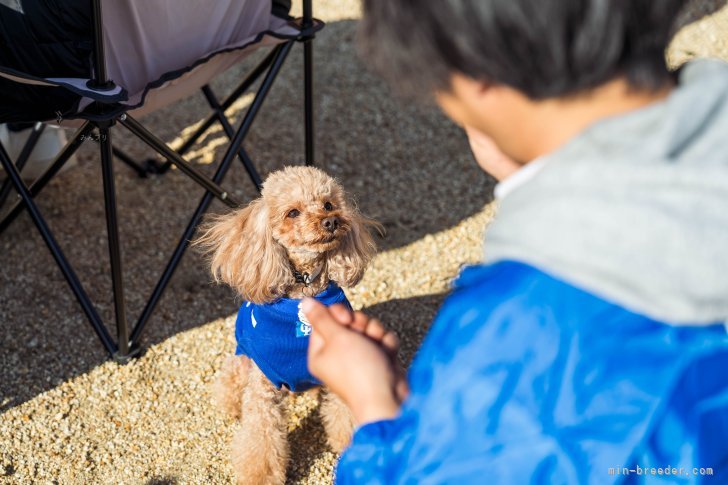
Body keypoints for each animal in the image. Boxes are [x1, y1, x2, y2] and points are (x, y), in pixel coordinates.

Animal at [193, 164, 382, 482]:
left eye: (328, 204)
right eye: (292, 212)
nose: (331, 221)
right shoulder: (263, 387)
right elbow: (261, 438)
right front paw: (259, 476)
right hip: (240, 365)